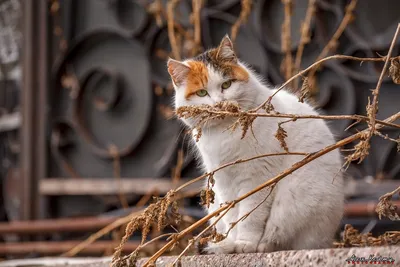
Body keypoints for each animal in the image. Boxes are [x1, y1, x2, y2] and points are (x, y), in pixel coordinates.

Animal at [166, 34, 344, 254]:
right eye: (201, 93)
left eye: (226, 85)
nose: (219, 103)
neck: (226, 133)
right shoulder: (224, 182)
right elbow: (232, 216)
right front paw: (230, 243)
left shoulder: (257, 179)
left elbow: (249, 216)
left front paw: (244, 244)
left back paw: (262, 246)